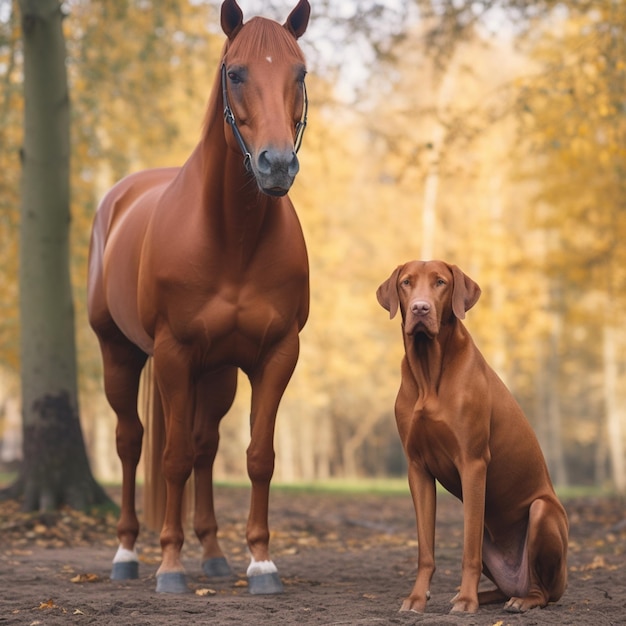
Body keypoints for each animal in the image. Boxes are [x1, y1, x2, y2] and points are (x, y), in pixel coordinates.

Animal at [86, 0, 310, 592]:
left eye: (300, 74)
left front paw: (262, 562)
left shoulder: (277, 354)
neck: (232, 237)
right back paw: (128, 554)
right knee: (132, 442)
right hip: (121, 355)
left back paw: (212, 553)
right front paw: (169, 567)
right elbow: (172, 458)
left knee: (206, 446)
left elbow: (258, 456)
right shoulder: (172, 353)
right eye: (236, 73)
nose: (277, 165)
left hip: (218, 372)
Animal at [376, 260, 564, 612]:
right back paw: (488, 595)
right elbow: (425, 550)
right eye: (407, 282)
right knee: (504, 585)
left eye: (440, 282)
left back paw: (520, 599)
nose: (420, 309)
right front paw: (417, 598)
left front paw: (466, 600)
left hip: (542, 513)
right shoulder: (417, 469)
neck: (429, 373)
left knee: (542, 592)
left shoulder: (473, 463)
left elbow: (468, 550)